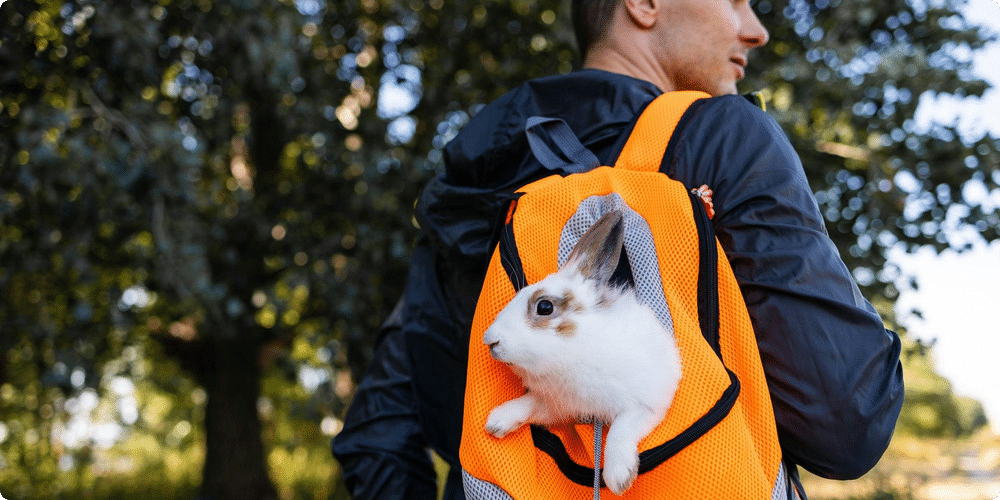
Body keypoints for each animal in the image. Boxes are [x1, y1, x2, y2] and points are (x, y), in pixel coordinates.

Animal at [483, 209, 682, 496]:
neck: (579, 347)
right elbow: (530, 402)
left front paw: (619, 477)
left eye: (545, 307)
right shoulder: (559, 406)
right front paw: (498, 421)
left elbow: (622, 428)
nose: (491, 340)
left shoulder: (648, 403)